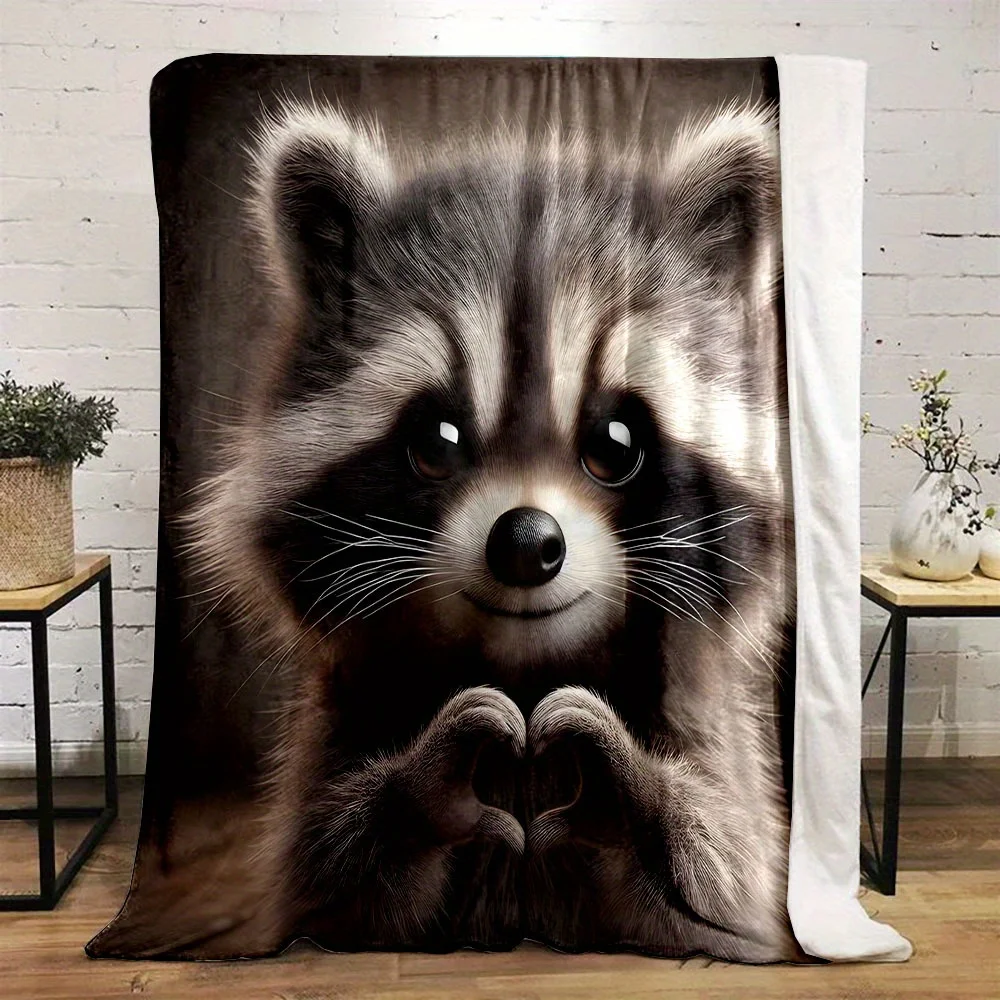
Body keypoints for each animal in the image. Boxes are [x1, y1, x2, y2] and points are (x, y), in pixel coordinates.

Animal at [189, 99, 797, 962]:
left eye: (617, 442)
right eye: (436, 439)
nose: (525, 541)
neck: (528, 666)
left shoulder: (706, 726)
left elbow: (717, 887)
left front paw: (637, 794)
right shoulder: (338, 730)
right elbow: (336, 892)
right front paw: (412, 794)